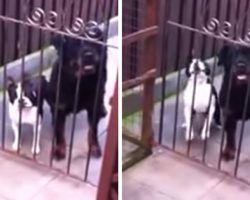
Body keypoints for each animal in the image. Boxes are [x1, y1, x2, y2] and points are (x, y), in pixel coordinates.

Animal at [46, 27, 107, 160]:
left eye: (95, 41)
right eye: (75, 43)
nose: (89, 54)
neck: (81, 83)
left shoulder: (93, 107)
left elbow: (93, 130)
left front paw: (94, 146)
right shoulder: (59, 108)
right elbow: (60, 132)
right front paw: (59, 149)